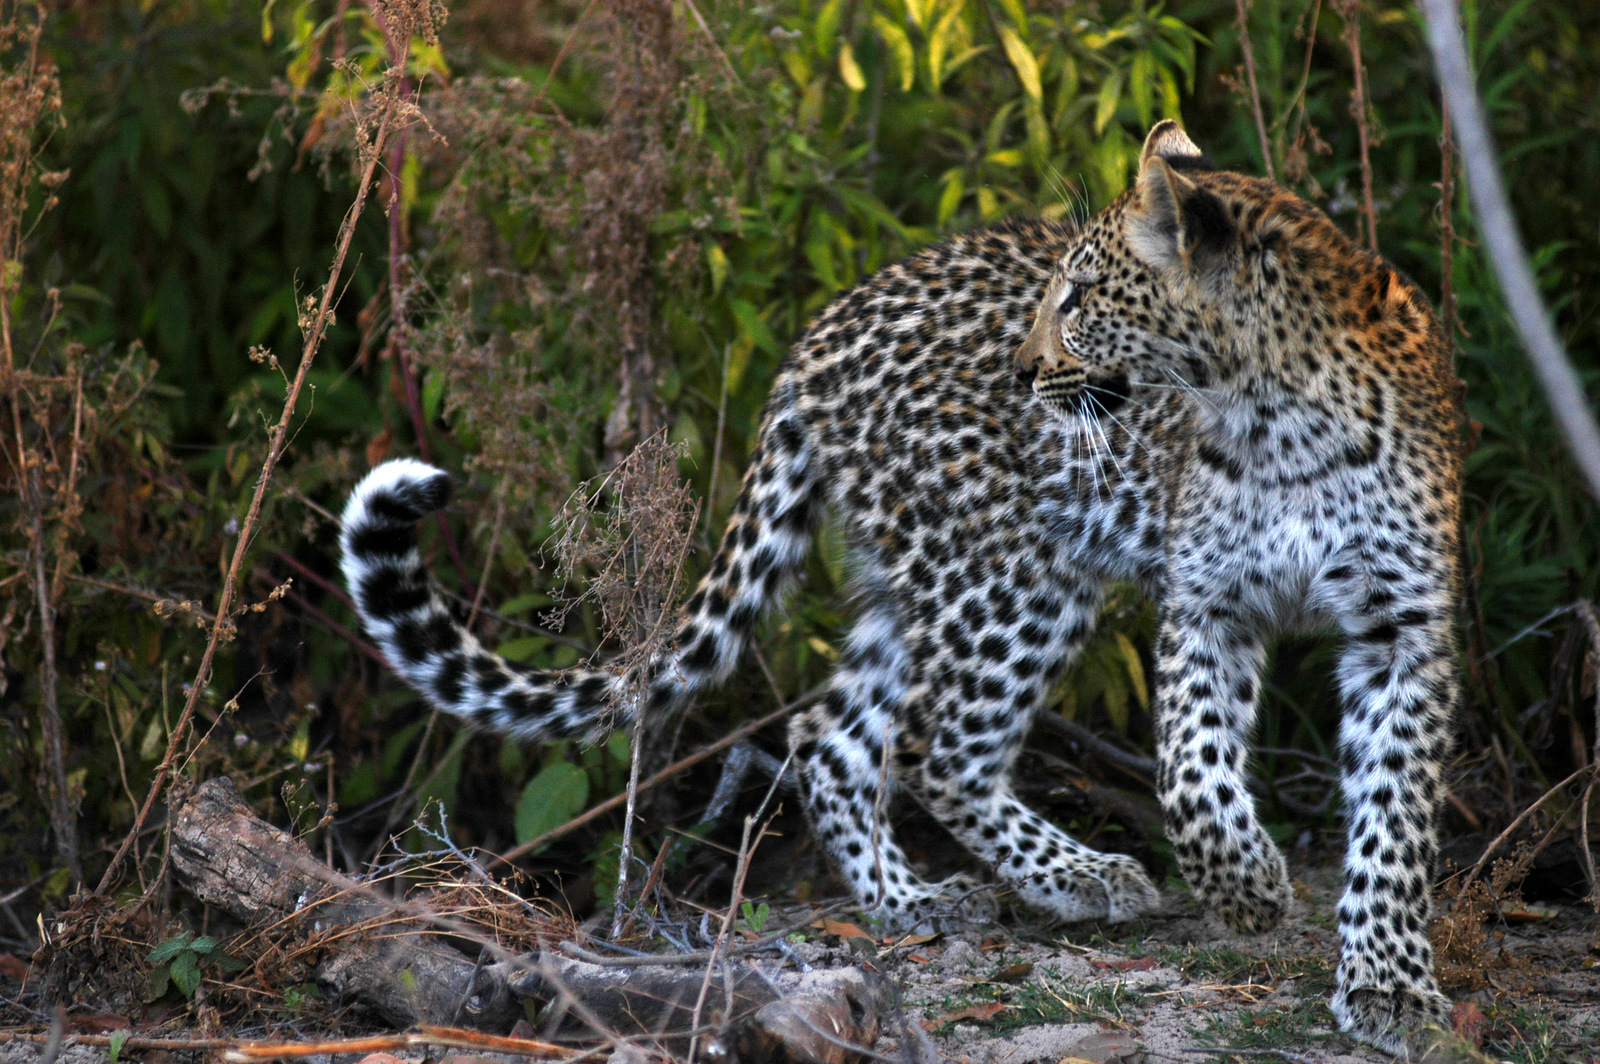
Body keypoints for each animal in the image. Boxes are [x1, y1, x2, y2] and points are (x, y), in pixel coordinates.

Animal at [339, 121, 1461, 1051]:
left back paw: (914, 901)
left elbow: (1394, 817)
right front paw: (1248, 887)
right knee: (936, 747)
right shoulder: (1207, 603)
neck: (1277, 416)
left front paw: (1389, 983)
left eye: (1080, 297)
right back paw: (1068, 876)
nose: (1023, 368)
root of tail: (817, 335)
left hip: (920, 581)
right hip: (1010, 571)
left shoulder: (1405, 626)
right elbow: (1192, 775)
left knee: (830, 734)